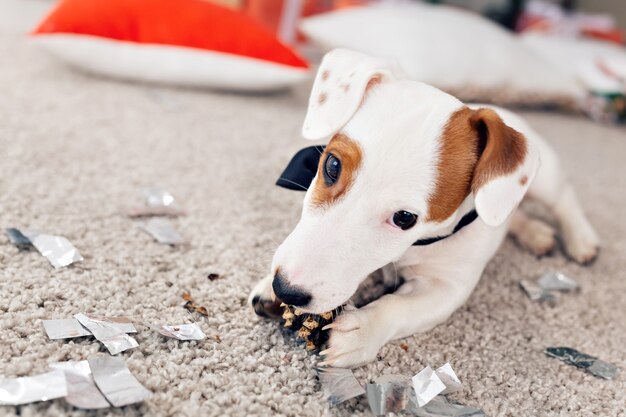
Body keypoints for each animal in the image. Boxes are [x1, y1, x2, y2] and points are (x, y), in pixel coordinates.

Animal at [246, 48, 596, 368]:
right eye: (332, 165)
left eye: (405, 218)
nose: (286, 289)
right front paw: (269, 288)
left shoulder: (446, 288)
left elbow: (397, 307)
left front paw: (361, 331)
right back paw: (535, 233)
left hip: (545, 181)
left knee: (564, 199)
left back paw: (581, 240)